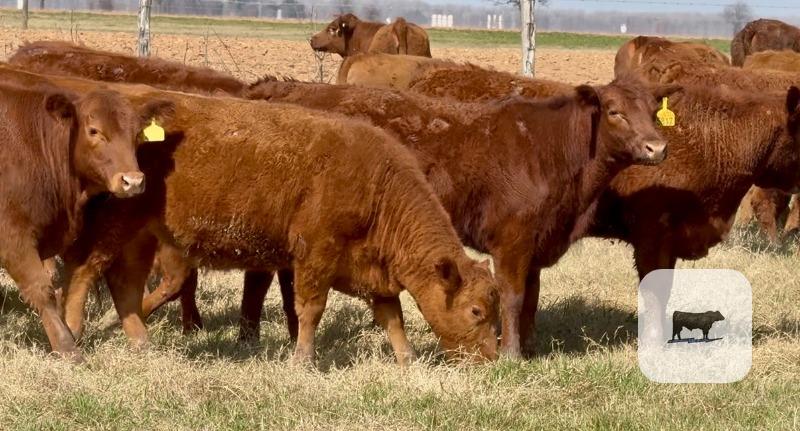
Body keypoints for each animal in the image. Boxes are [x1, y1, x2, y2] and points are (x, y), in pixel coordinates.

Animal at [0, 65, 172, 362]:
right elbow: (42, 289)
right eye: (94, 131)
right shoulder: (13, 236)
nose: (133, 181)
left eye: (137, 134)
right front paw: (66, 347)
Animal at [49, 79, 500, 365]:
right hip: (114, 227)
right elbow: (310, 309)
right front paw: (303, 359)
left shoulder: (373, 268)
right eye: (477, 311)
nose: (492, 360)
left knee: (124, 284)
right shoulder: (315, 257)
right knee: (84, 272)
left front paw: (407, 360)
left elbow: (393, 317)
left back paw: (141, 343)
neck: (378, 185)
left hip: (142, 236)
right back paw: (74, 333)